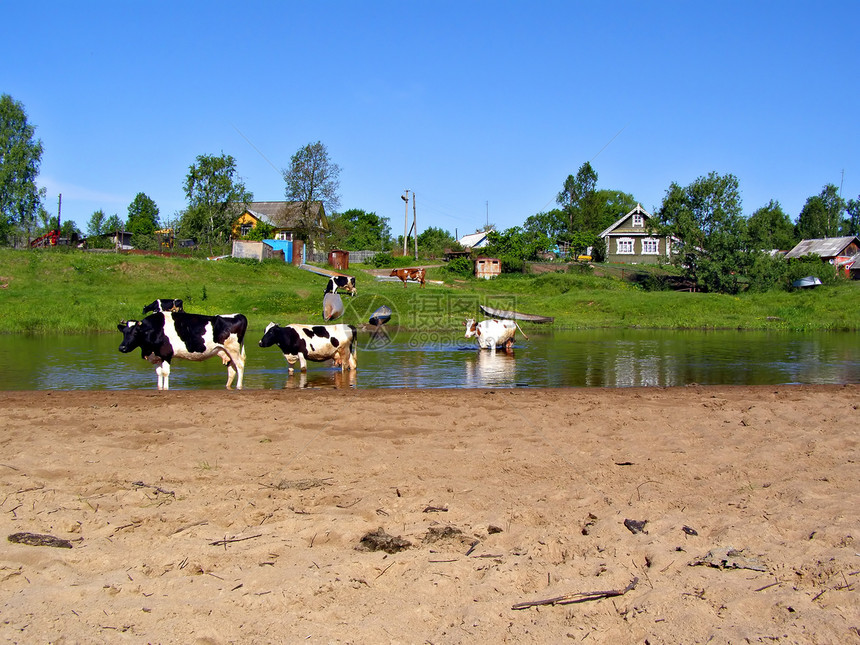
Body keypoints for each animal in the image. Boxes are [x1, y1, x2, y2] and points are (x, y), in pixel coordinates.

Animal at [116, 310, 249, 390]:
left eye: (135, 332)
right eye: (124, 332)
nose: (122, 347)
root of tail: (238, 315)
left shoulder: (166, 354)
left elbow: (165, 372)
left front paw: (166, 388)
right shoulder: (157, 356)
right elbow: (159, 373)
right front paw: (159, 388)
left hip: (233, 349)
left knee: (240, 365)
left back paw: (239, 386)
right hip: (225, 351)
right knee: (231, 369)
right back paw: (227, 386)